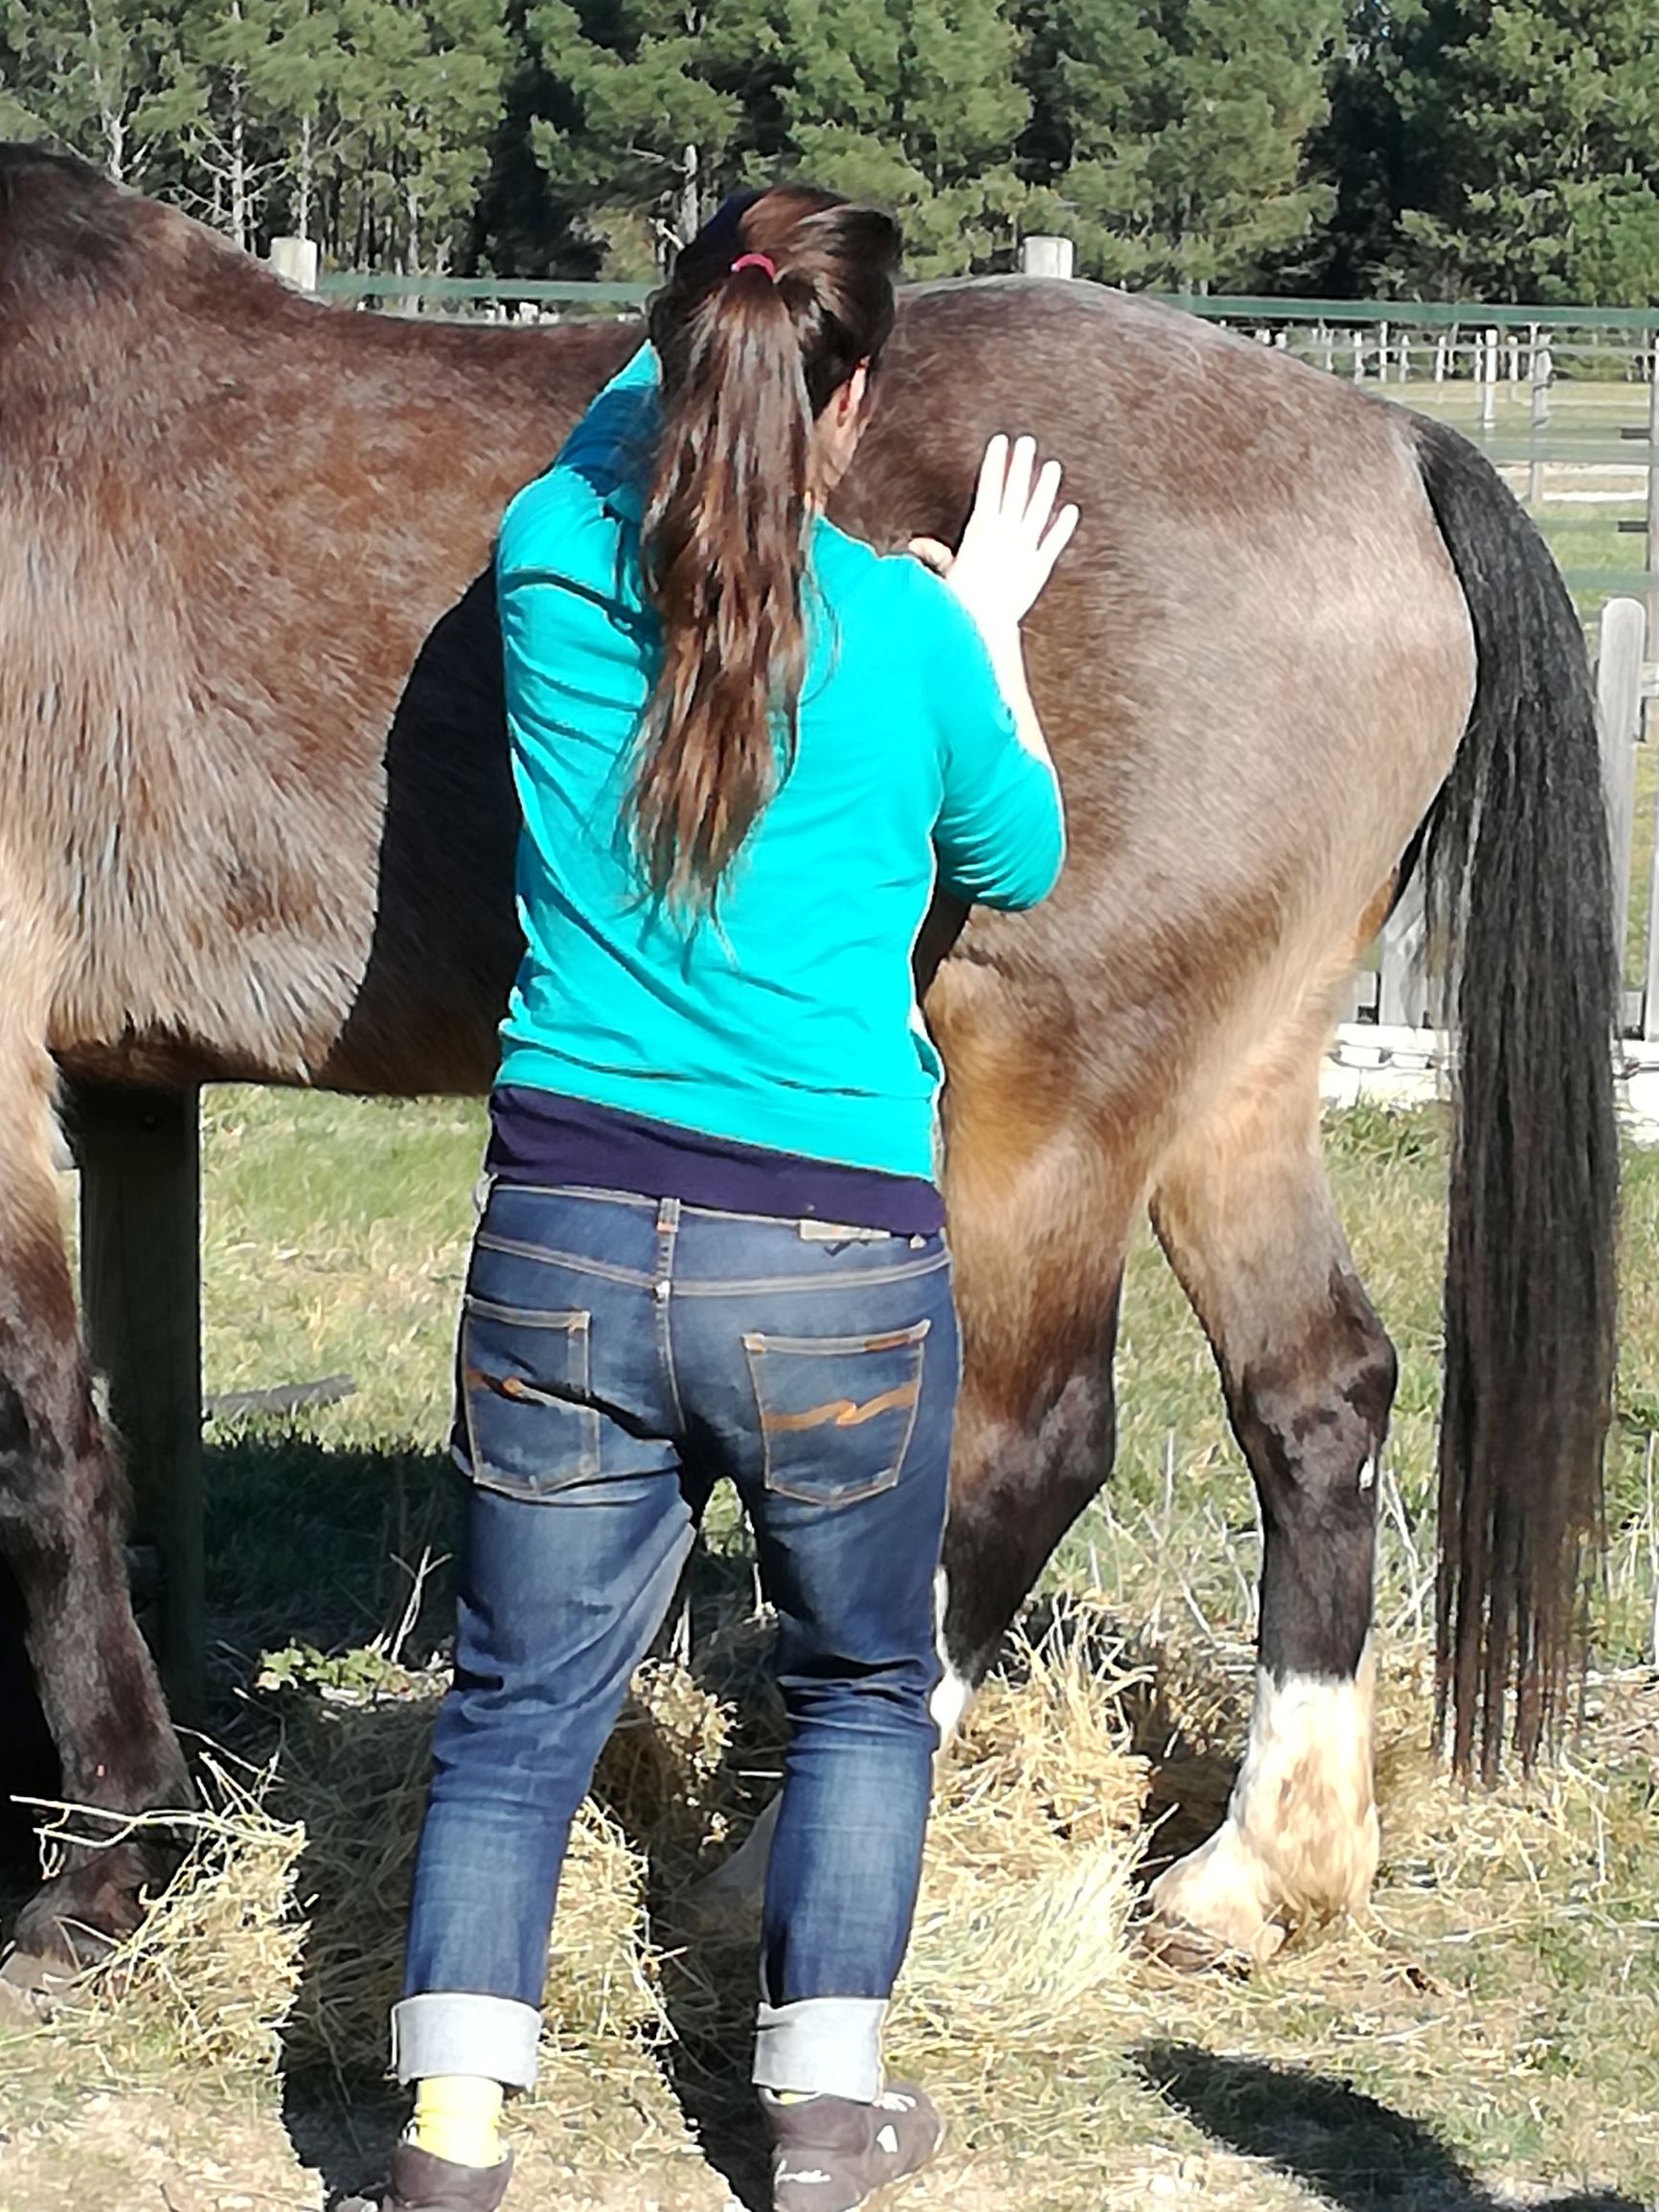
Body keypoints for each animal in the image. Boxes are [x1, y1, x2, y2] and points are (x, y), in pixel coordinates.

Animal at [0, 147, 1610, 1981]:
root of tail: (1388, 443)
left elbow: (45, 1444)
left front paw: (109, 1856)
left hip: (1045, 1081)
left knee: (1020, 1444)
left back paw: (763, 1872)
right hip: (1234, 1083)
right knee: (1316, 1390)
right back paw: (1255, 1870)